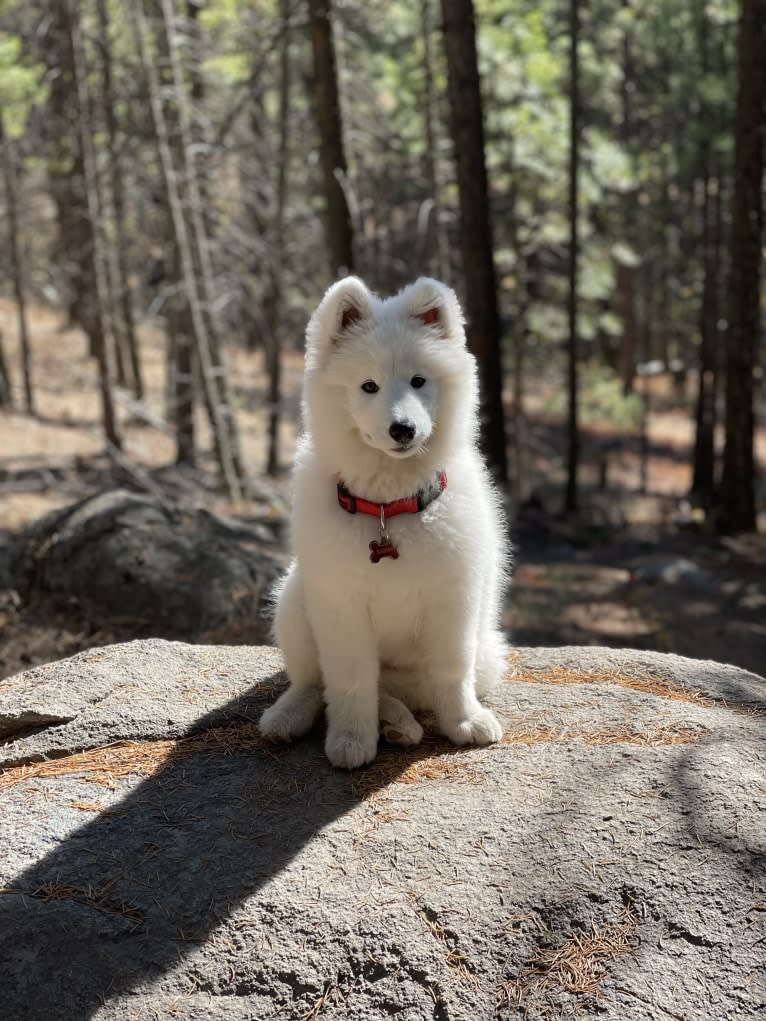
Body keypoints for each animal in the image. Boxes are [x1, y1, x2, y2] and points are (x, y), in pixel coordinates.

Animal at [259, 275, 510, 767]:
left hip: (487, 652)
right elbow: (350, 680)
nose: (402, 429)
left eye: (419, 380)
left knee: (408, 688)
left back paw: (399, 722)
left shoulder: (454, 597)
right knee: (314, 682)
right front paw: (352, 740)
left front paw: (464, 722)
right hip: (294, 600)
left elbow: (451, 670)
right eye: (368, 386)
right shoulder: (340, 603)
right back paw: (292, 716)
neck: (387, 508)